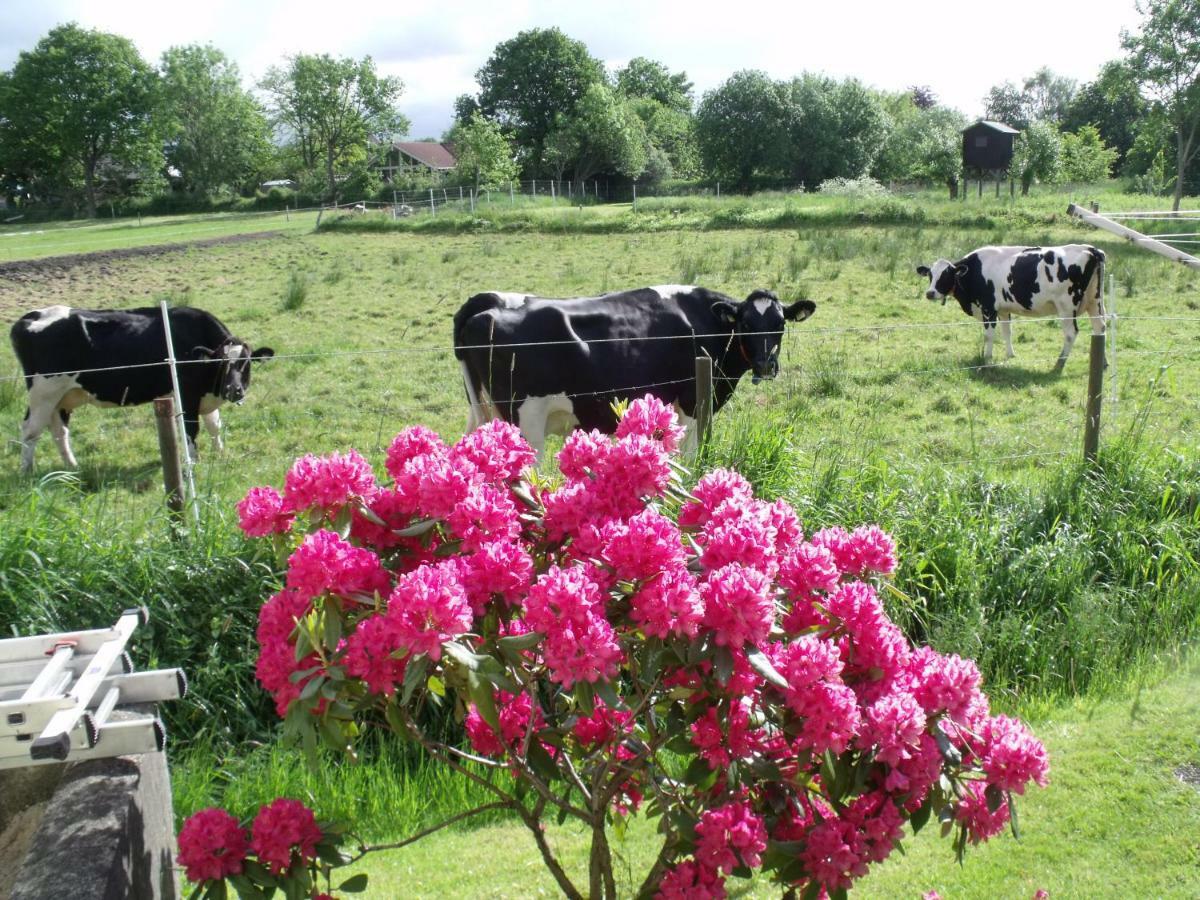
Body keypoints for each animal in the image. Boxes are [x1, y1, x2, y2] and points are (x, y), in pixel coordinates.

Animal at [11, 304, 274, 475]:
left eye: (246, 363)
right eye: (221, 363)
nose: (234, 390)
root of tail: (33, 314)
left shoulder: (204, 395)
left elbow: (214, 425)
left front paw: (220, 454)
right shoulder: (187, 395)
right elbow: (191, 429)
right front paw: (193, 462)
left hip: (62, 397)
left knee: (58, 431)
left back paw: (72, 468)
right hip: (44, 392)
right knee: (30, 431)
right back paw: (26, 472)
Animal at [451, 285, 816, 453]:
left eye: (780, 323)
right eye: (746, 324)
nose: (766, 364)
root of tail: (487, 304)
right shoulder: (694, 402)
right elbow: (690, 455)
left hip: (482, 411)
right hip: (525, 421)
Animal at [916, 244, 1104, 367]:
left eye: (946, 275)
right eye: (930, 275)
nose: (930, 293)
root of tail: (1090, 249)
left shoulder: (988, 309)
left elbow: (989, 335)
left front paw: (987, 358)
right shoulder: (1003, 310)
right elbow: (1007, 332)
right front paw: (1010, 355)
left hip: (1066, 306)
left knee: (1071, 333)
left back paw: (1060, 362)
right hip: (1094, 301)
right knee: (1100, 328)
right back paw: (1103, 364)